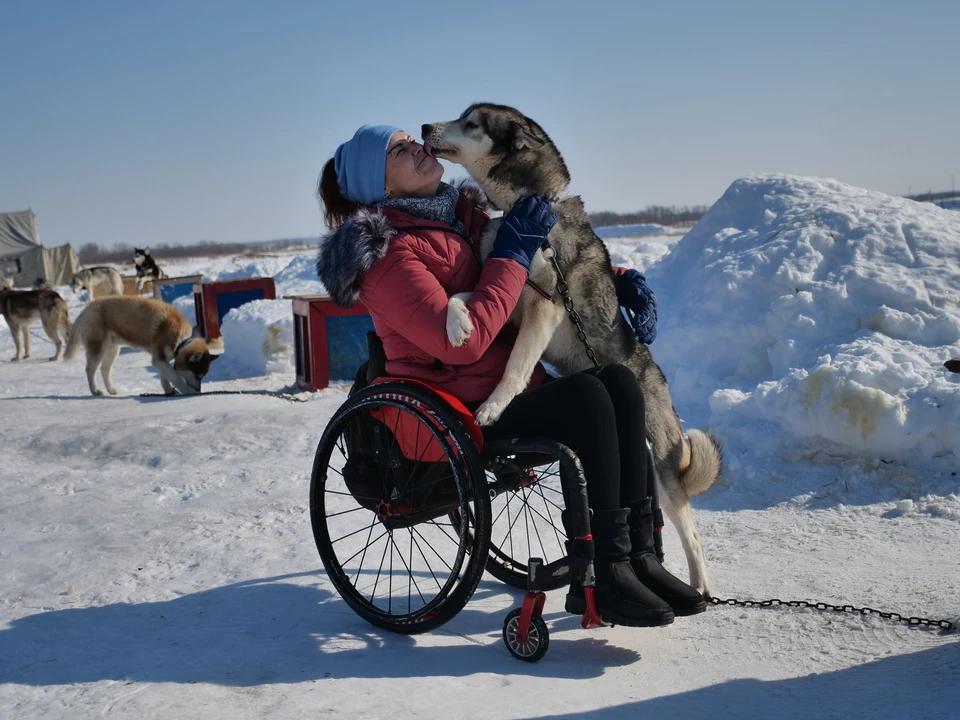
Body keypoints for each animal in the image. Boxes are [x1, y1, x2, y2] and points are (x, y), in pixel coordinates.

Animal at [64, 296, 222, 396]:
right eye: (198, 375)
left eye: (202, 376)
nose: (199, 391)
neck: (181, 340)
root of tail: (86, 309)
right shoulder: (159, 358)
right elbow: (175, 375)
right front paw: (186, 391)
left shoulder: (161, 359)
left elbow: (165, 375)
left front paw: (169, 390)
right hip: (98, 347)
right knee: (90, 370)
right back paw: (95, 390)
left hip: (113, 349)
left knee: (104, 369)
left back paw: (111, 389)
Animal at [424, 102, 724, 596]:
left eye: (472, 122)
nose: (425, 126)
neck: (526, 212)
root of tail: (658, 380)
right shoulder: (509, 305)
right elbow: (456, 298)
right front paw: (458, 327)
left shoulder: (541, 308)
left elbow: (514, 367)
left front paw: (492, 407)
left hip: (663, 475)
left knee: (692, 534)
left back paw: (699, 589)